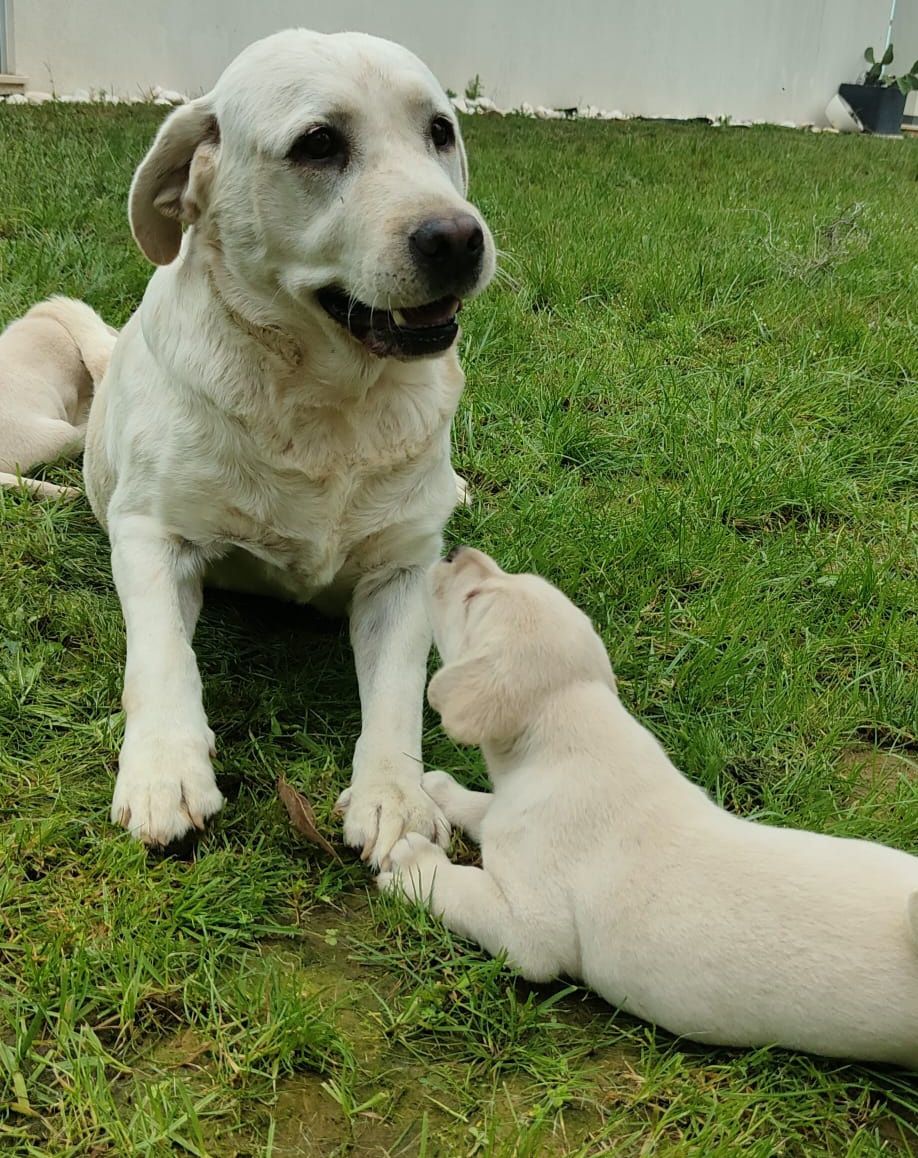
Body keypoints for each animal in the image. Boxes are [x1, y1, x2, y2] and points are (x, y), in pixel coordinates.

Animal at [79, 27, 493, 861]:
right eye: (318, 143)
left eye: (439, 131)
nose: (459, 237)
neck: (327, 406)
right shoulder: (151, 534)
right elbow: (161, 655)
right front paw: (164, 770)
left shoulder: (403, 572)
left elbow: (399, 693)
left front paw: (395, 797)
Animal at [379, 546, 916, 1069]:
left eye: (472, 601)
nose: (455, 551)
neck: (571, 726)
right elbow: (486, 809)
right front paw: (443, 791)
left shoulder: (528, 931)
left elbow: (463, 892)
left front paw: (413, 867)